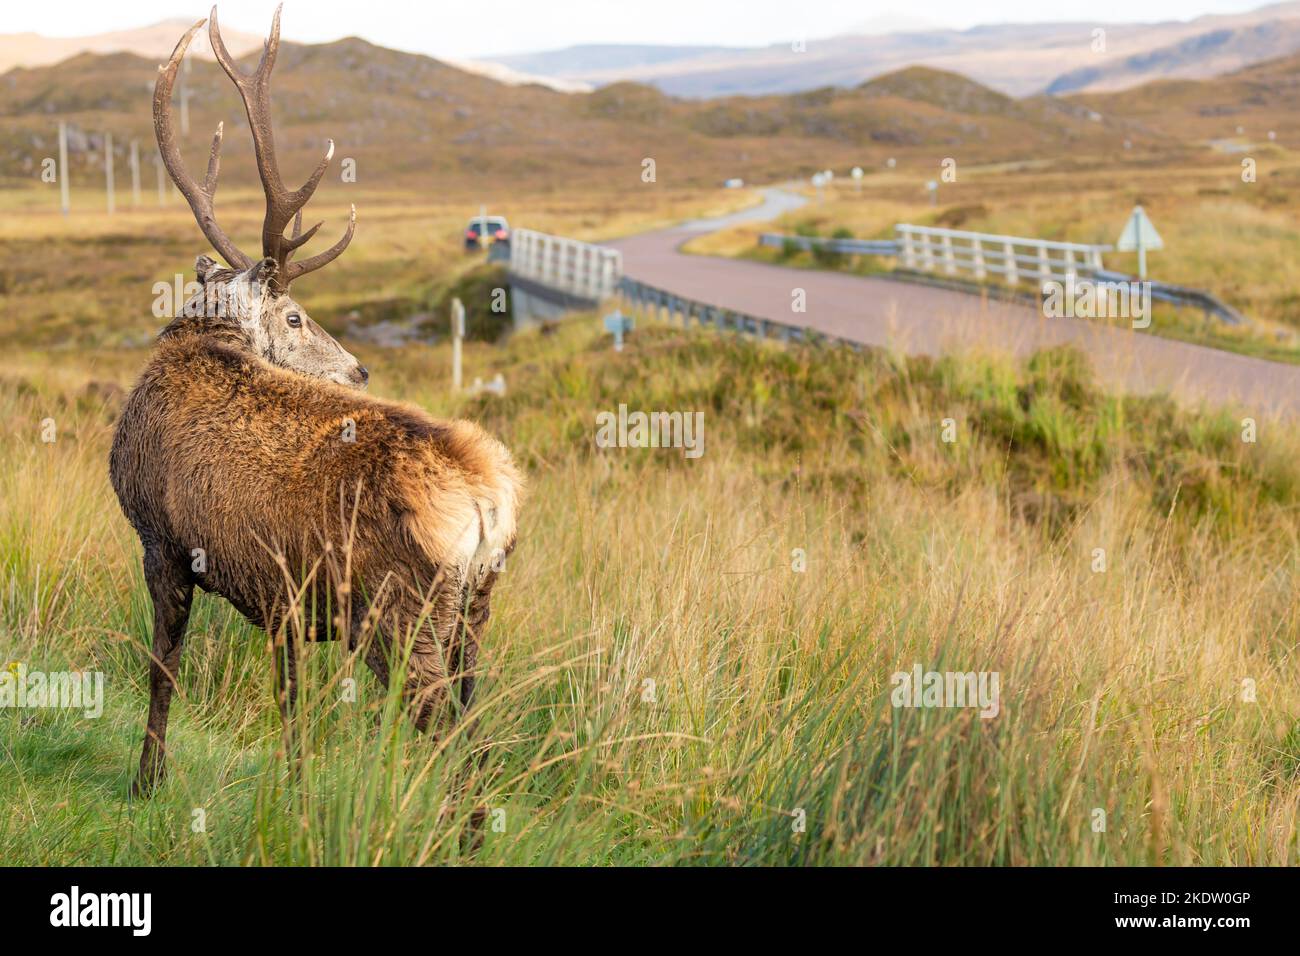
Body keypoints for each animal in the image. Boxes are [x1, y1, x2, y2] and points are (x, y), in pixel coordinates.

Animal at [111, 6, 522, 797]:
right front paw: (294, 796)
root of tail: (488, 501)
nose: (359, 371)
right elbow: (295, 712)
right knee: (479, 733)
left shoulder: (162, 541)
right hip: (476, 615)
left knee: (454, 747)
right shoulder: (284, 602)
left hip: (401, 613)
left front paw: (148, 780)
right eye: (297, 318)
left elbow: (162, 671)